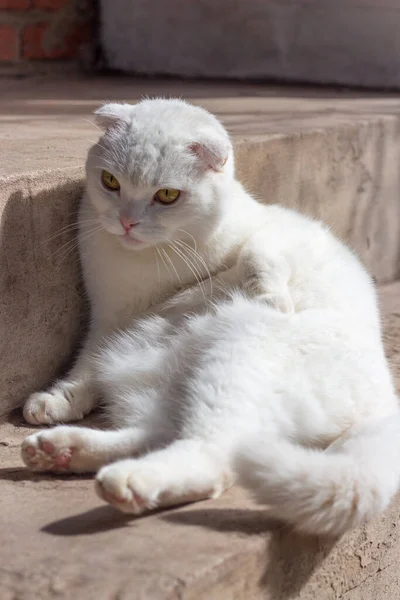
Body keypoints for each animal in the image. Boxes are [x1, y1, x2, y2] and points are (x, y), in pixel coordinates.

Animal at [21, 98, 400, 536]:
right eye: (110, 182)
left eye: (167, 195)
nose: (127, 222)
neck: (154, 265)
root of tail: (385, 404)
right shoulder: (108, 319)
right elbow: (84, 368)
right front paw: (55, 400)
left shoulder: (292, 232)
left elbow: (257, 252)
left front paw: (270, 296)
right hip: (171, 390)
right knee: (167, 435)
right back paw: (61, 450)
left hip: (236, 357)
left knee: (214, 457)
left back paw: (126, 481)